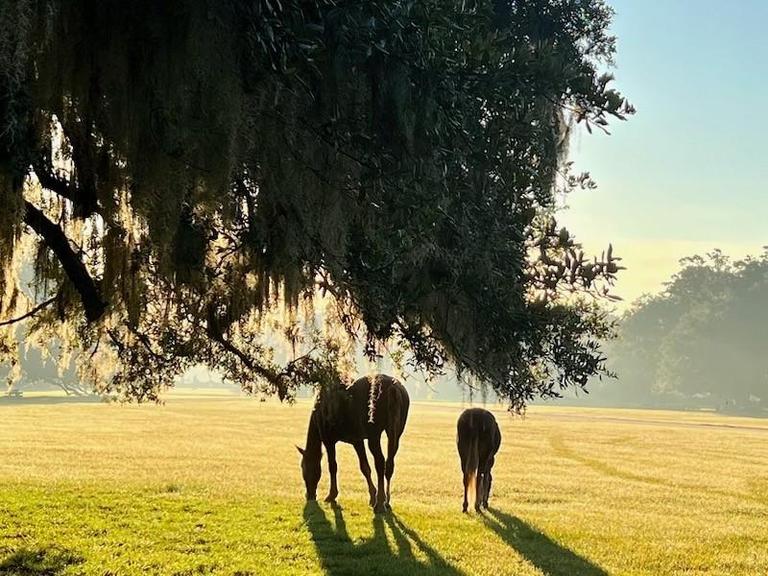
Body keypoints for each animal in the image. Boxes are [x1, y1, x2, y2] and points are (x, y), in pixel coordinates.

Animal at [296, 374, 410, 513]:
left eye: (303, 467)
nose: (309, 495)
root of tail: (393, 388)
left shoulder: (329, 441)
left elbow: (332, 466)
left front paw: (332, 495)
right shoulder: (357, 441)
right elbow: (365, 467)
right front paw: (372, 496)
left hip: (374, 436)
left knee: (380, 462)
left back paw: (380, 503)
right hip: (395, 434)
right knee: (389, 464)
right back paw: (386, 501)